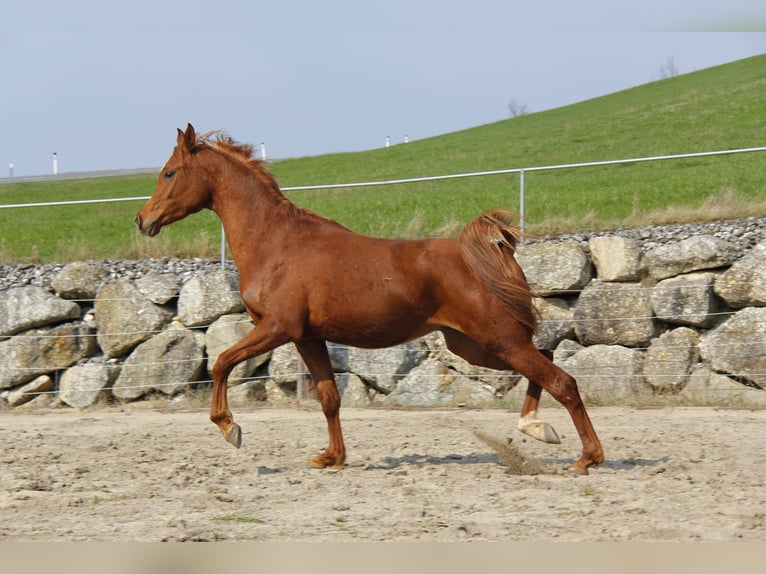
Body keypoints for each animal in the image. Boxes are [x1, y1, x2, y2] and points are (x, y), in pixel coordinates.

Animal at [135, 124, 604, 474]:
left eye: (170, 172)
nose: (142, 220)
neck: (275, 243)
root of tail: (491, 251)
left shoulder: (277, 327)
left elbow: (220, 362)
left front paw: (229, 428)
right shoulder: (307, 336)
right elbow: (329, 398)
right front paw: (331, 457)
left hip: (497, 339)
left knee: (562, 381)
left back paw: (585, 456)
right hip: (474, 345)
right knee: (546, 364)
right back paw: (537, 428)